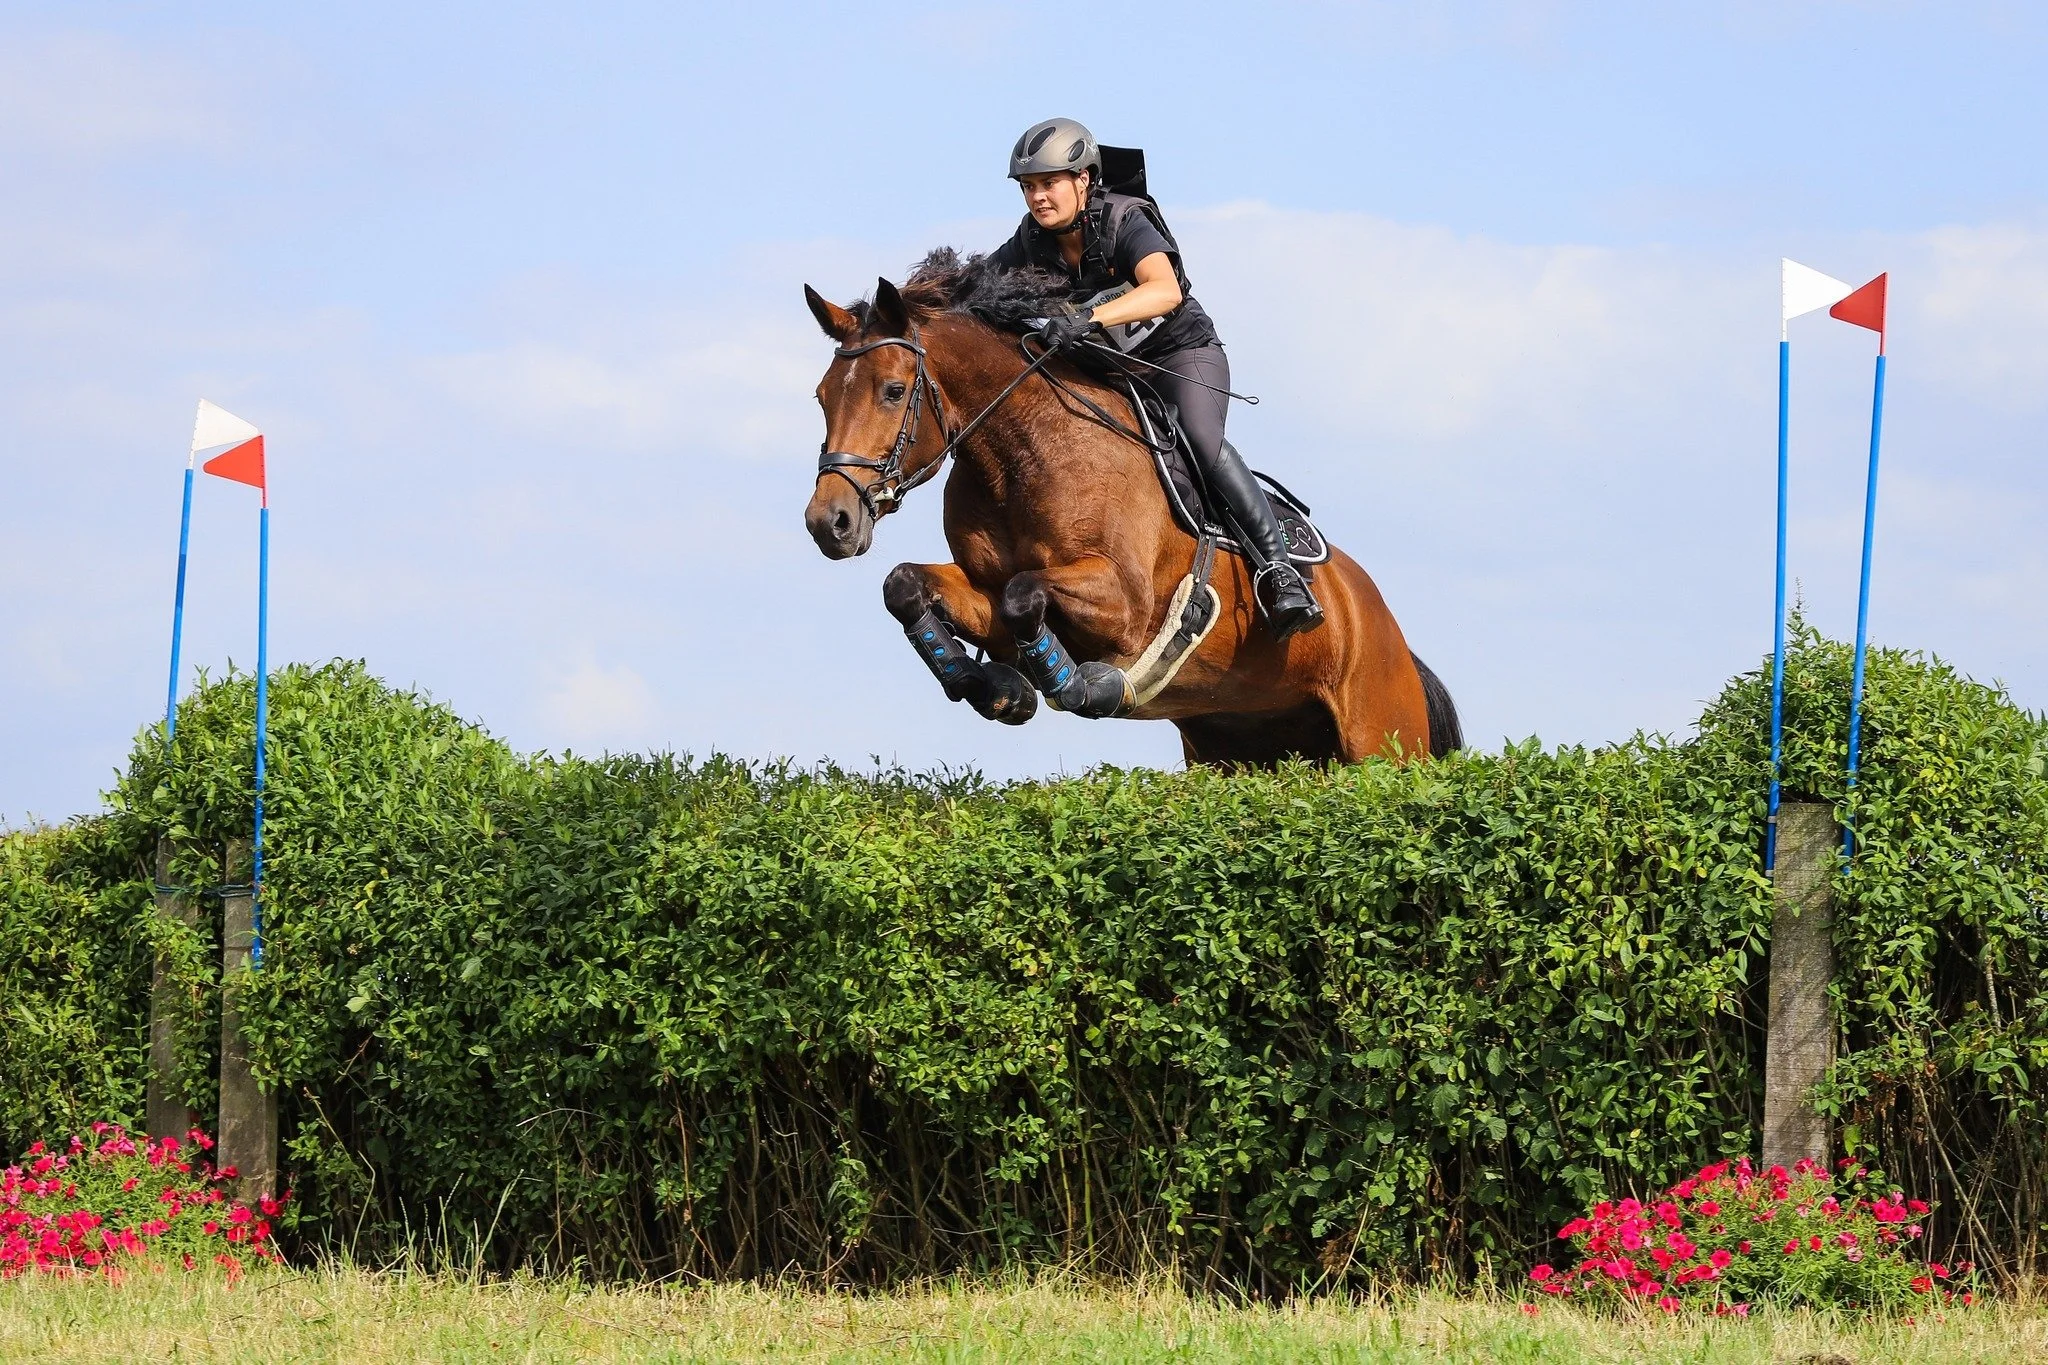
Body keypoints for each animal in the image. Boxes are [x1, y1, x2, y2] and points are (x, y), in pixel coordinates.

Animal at [800, 252, 1460, 768]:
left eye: (892, 391)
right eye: (822, 397)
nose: (829, 523)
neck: (1022, 453)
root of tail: (1389, 632)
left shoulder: (1125, 601)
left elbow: (1023, 595)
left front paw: (1082, 686)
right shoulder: (981, 585)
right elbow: (909, 585)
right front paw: (992, 686)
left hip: (1379, 743)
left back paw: (1289, 594)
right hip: (1242, 749)